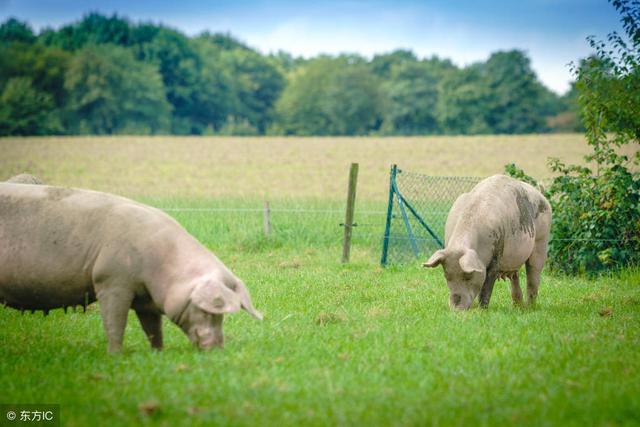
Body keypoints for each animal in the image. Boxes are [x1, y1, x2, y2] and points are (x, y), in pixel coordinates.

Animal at [0, 184, 262, 354]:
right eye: (210, 311)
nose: (217, 349)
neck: (162, 267)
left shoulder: (147, 299)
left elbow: (153, 328)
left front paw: (158, 353)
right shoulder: (110, 281)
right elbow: (115, 322)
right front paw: (115, 355)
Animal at [422, 175, 552, 310]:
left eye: (468, 276)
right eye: (446, 276)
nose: (456, 309)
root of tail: (541, 194)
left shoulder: (497, 253)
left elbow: (487, 286)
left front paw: (482, 309)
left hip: (542, 240)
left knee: (533, 274)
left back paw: (529, 307)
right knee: (515, 276)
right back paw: (517, 306)